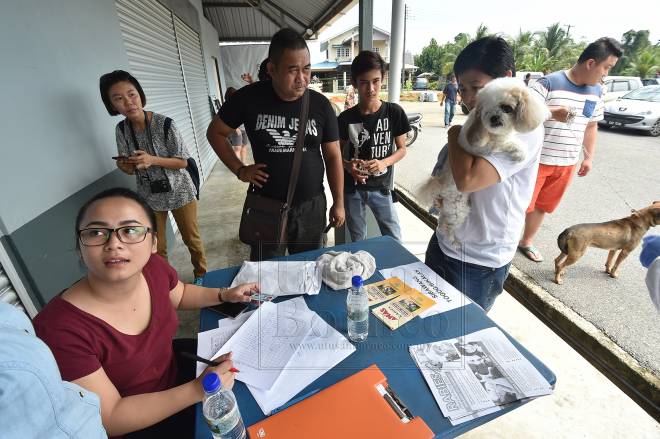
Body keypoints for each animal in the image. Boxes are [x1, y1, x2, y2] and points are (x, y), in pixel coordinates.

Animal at [426, 76, 548, 248]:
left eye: (507, 108)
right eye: (485, 111)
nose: (494, 118)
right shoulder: (481, 146)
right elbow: (503, 142)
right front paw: (520, 150)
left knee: (443, 221)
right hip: (458, 208)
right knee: (447, 227)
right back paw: (454, 241)